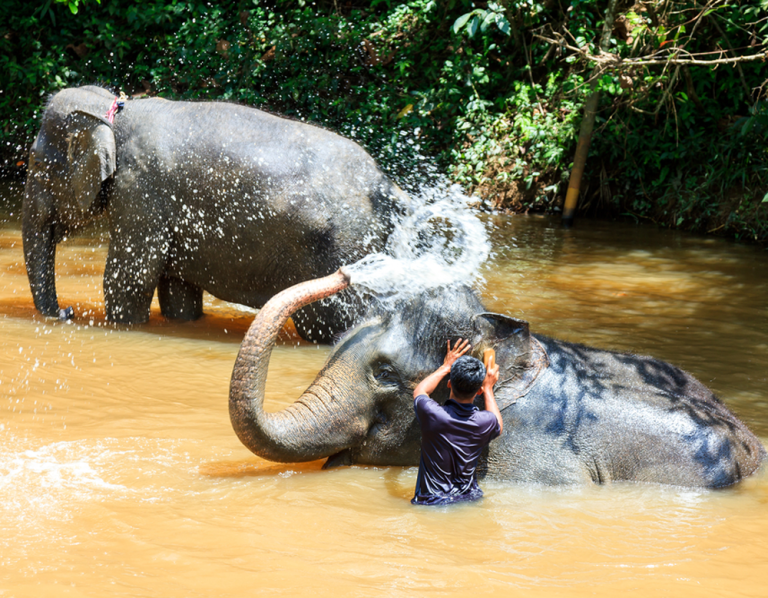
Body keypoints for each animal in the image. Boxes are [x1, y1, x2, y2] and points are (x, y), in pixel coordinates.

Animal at [21, 86, 404, 344]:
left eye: (37, 165)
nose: (67, 312)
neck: (117, 113)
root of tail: (387, 187)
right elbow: (177, 291)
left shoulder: (140, 193)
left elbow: (129, 278)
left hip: (341, 250)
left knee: (329, 324)